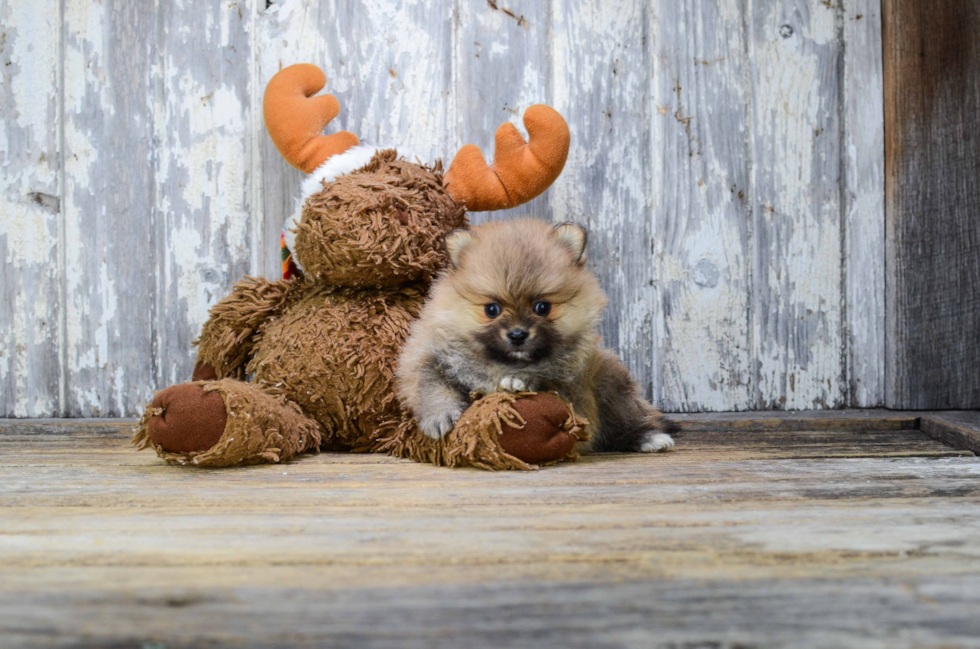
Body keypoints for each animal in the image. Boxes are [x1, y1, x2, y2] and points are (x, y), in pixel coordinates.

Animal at [396, 218, 672, 450]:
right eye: (491, 309)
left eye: (542, 307)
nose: (518, 335)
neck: (504, 363)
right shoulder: (430, 356)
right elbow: (431, 385)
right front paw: (439, 416)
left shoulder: (571, 382)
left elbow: (545, 380)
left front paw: (521, 381)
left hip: (609, 383)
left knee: (627, 416)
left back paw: (649, 437)